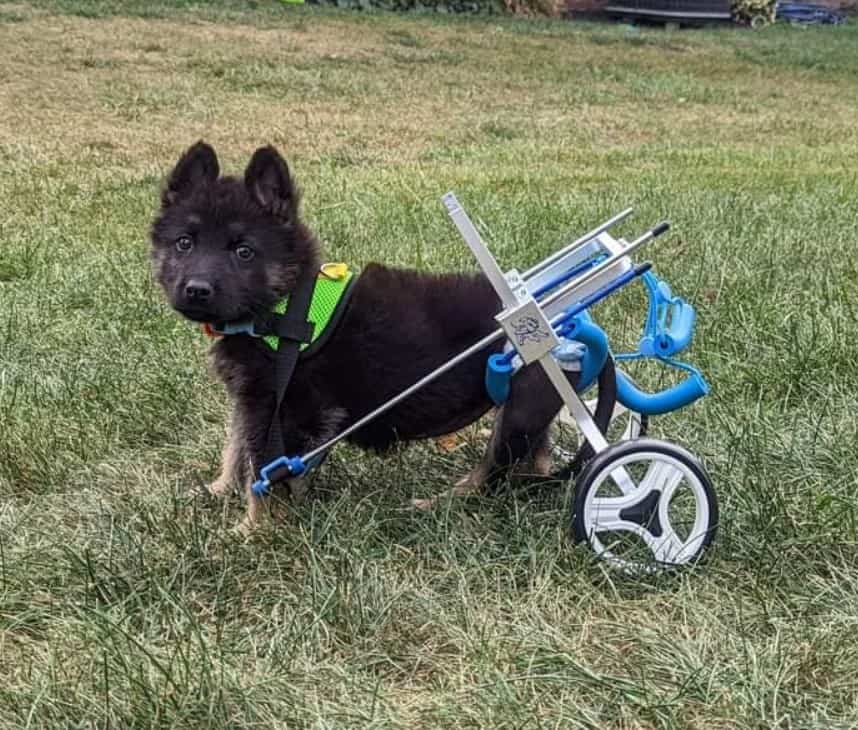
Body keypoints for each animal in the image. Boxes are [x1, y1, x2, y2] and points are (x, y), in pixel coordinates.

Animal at [150, 141, 580, 528]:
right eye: (184, 243)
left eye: (244, 252)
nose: (197, 290)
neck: (284, 305)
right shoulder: (251, 400)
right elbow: (237, 449)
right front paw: (218, 491)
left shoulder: (285, 409)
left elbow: (263, 471)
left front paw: (252, 532)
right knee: (531, 460)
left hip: (521, 405)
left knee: (493, 475)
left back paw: (439, 503)